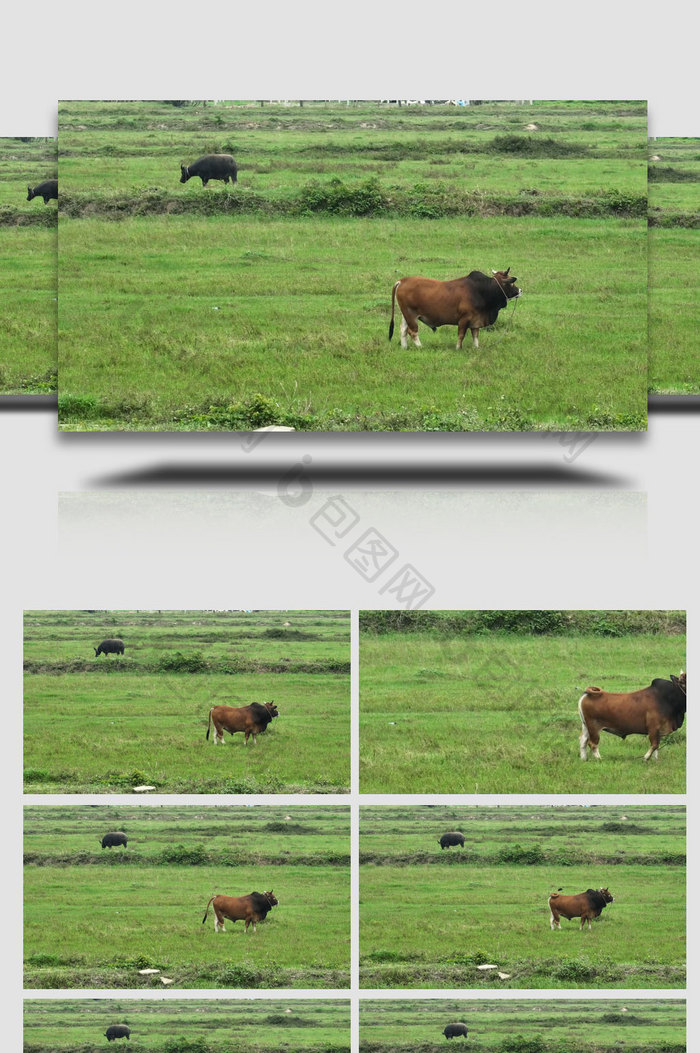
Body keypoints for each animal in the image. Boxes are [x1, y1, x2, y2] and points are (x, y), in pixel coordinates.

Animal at [387, 269, 517, 351]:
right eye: (511, 283)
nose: (519, 291)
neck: (482, 290)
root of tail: (402, 281)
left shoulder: (476, 320)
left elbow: (475, 335)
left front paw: (476, 347)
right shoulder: (464, 319)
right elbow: (461, 335)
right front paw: (458, 348)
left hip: (406, 314)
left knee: (403, 330)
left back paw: (404, 347)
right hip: (411, 315)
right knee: (412, 332)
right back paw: (420, 346)